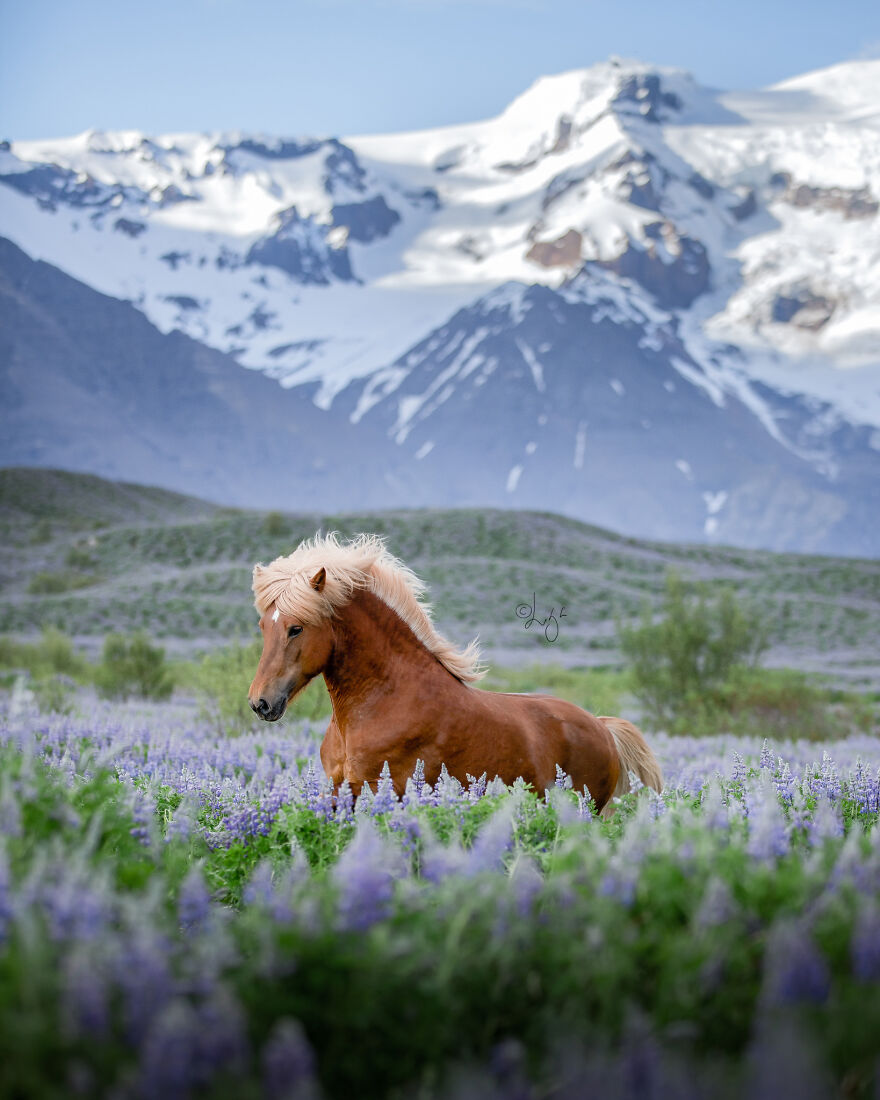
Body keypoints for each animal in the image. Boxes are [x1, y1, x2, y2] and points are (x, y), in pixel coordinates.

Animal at [247, 533, 662, 815]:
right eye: (263, 626)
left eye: (296, 628)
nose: (260, 703)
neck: (386, 700)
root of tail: (602, 727)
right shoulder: (337, 791)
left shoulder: (377, 789)